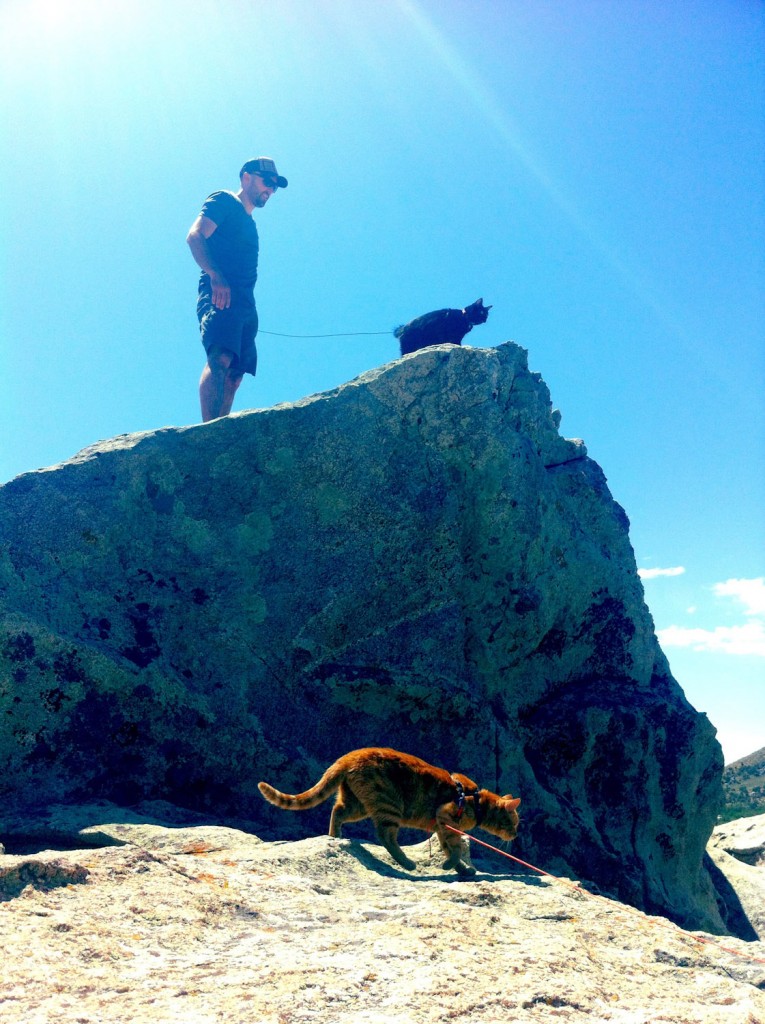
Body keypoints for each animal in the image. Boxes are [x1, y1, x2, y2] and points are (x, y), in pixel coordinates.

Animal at [259, 749, 520, 876]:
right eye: (515, 823)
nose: (516, 835)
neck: (477, 801)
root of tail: (350, 755)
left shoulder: (441, 827)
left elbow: (450, 850)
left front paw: (462, 870)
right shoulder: (446, 819)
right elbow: (454, 851)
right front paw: (452, 867)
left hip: (356, 803)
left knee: (337, 810)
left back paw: (335, 837)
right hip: (390, 806)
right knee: (386, 837)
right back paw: (407, 863)